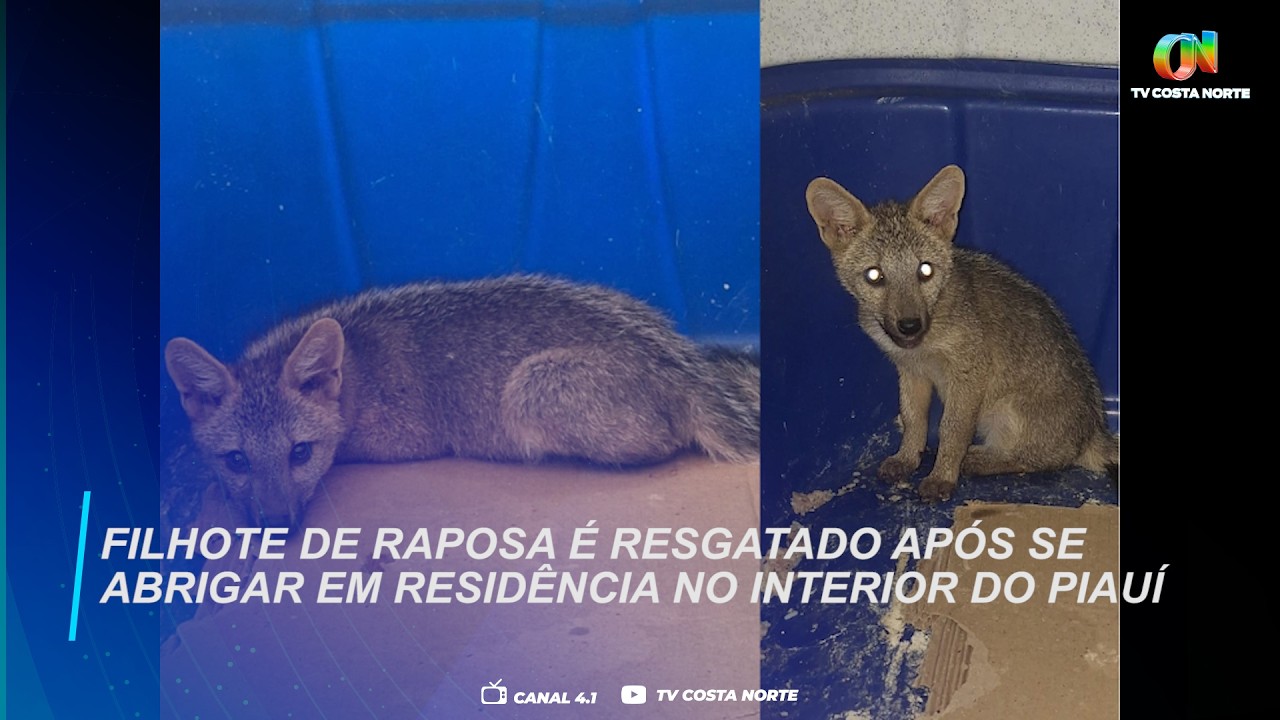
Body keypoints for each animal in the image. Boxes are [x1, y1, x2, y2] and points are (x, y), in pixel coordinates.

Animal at [164, 275, 759, 528]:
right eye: (236, 460)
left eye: (300, 453)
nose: (276, 525)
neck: (355, 362)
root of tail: (684, 361)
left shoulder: (402, 439)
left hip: (528, 390)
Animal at [804, 165, 1118, 501]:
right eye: (874, 275)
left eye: (925, 270)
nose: (910, 325)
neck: (923, 347)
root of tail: (1093, 430)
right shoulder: (911, 372)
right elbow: (913, 419)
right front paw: (907, 458)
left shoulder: (970, 374)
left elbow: (951, 429)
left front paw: (942, 476)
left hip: (1003, 412)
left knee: (1040, 459)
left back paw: (977, 459)